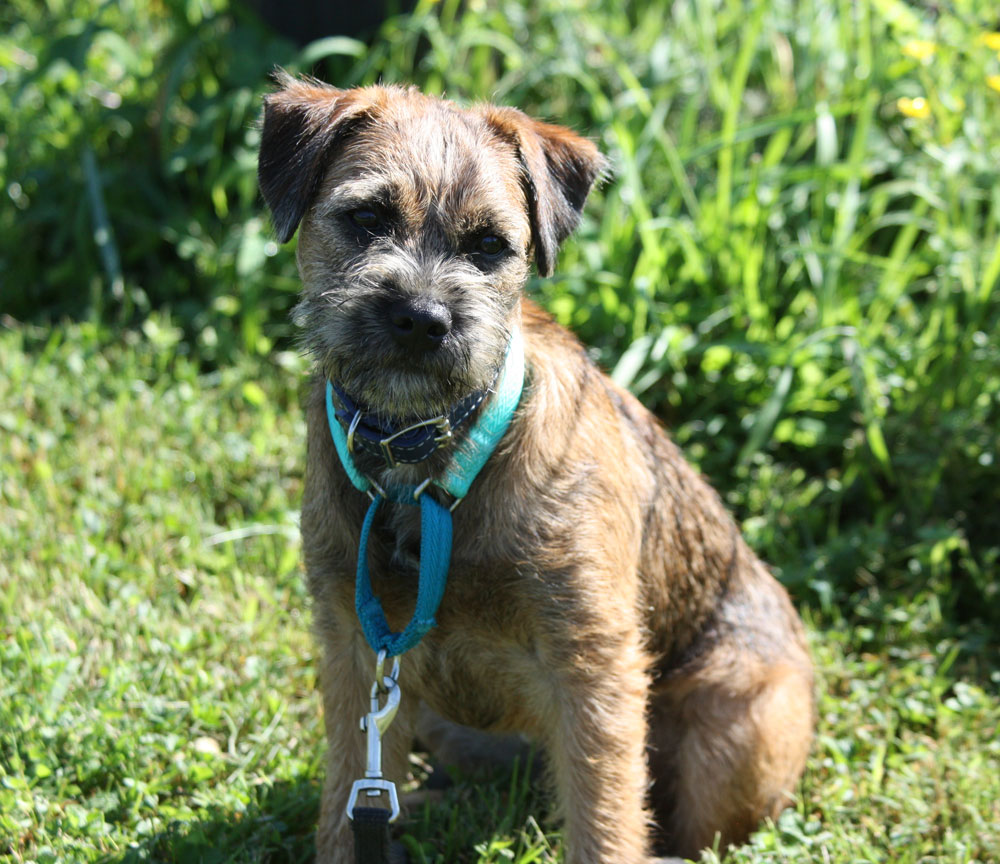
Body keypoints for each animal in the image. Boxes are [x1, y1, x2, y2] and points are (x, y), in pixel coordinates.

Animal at [257, 74, 814, 863]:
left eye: (490, 246)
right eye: (366, 219)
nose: (422, 317)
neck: (421, 459)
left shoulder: (593, 672)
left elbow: (605, 821)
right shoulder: (356, 654)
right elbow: (345, 799)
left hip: (734, 726)